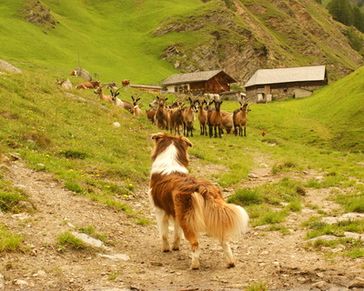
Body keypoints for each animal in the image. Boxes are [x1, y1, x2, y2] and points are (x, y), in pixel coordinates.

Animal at [149, 133, 249, 270]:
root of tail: (202, 187)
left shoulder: (160, 211)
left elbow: (164, 234)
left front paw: (166, 249)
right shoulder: (175, 213)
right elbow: (176, 233)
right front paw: (175, 247)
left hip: (187, 221)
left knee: (195, 243)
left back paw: (194, 265)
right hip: (211, 218)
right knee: (225, 241)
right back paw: (230, 262)